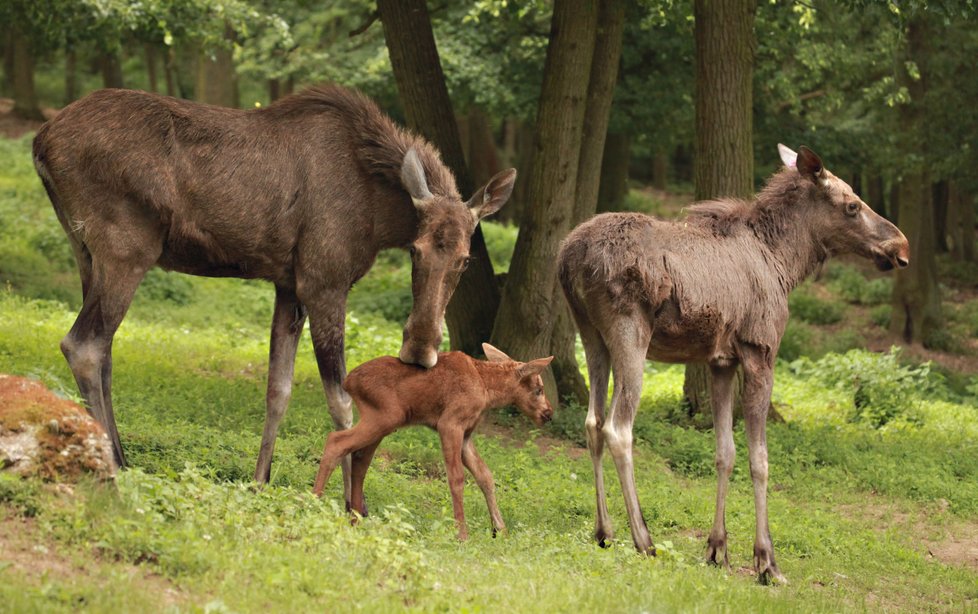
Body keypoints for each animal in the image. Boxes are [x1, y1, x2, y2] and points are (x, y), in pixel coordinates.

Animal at [31, 84, 516, 498]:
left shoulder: (288, 285)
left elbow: (277, 390)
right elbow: (341, 400)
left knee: (104, 351)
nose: (419, 349)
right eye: (415, 250)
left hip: (85, 251)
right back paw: (112, 464)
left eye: (465, 259)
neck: (378, 214)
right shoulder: (324, 281)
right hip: (126, 248)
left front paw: (260, 480)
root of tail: (40, 141)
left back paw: (120, 455)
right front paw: (346, 502)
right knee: (84, 345)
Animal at [314, 344, 552, 540]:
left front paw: (500, 530)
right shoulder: (450, 424)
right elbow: (456, 478)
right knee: (336, 441)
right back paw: (314, 501)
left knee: (359, 458)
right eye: (538, 389)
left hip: (379, 422)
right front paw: (462, 534)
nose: (548, 413)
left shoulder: (466, 435)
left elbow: (485, 476)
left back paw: (354, 519)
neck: (487, 389)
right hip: (386, 417)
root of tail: (347, 382)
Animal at [556, 147, 908, 584]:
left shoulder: (720, 361)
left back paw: (604, 531)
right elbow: (760, 460)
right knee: (618, 429)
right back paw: (644, 539)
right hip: (630, 334)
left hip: (591, 336)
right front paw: (766, 561)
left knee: (591, 422)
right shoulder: (760, 352)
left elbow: (725, 452)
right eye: (852, 205)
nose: (901, 246)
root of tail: (568, 258)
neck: (786, 263)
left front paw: (717, 550)